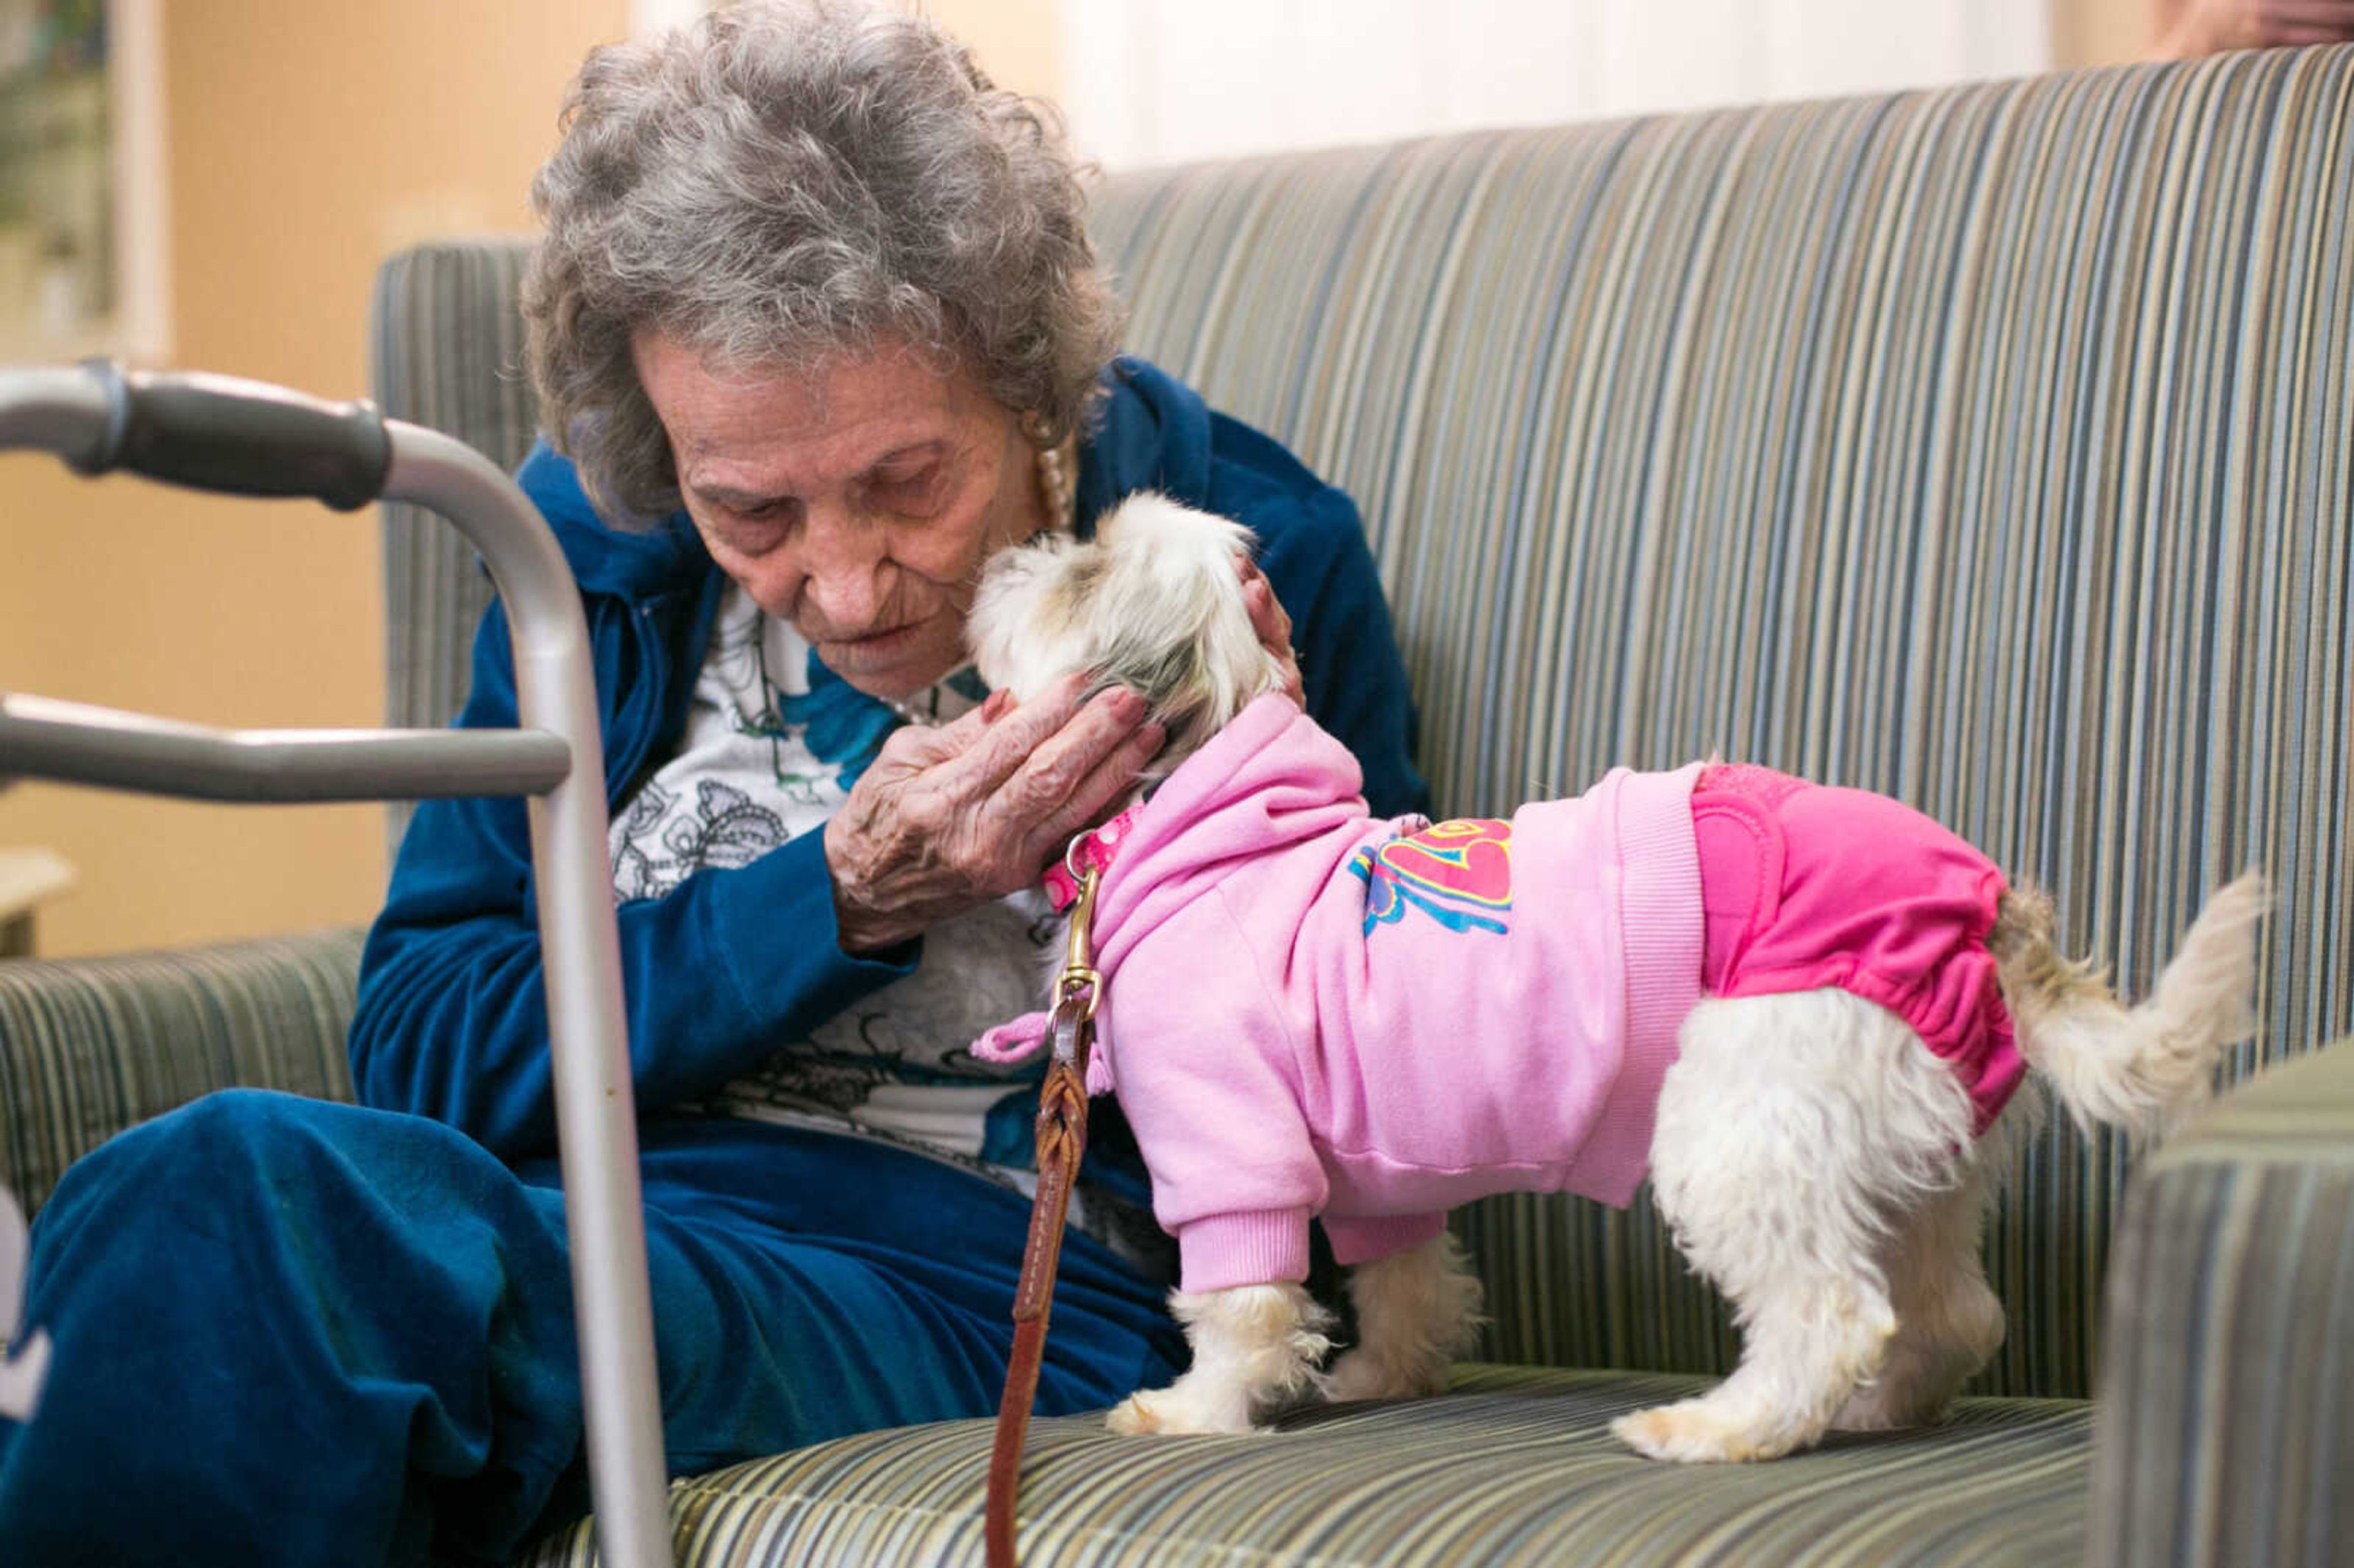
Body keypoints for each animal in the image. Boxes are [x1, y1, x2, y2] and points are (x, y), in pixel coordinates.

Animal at [960, 494, 2260, 1460]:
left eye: (1083, 567)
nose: (1014, 553)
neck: (1213, 818)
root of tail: (1985, 907)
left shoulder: (1231, 1149)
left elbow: (1243, 1301)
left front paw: (1196, 1410)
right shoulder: (1381, 1173)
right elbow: (1405, 1278)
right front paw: (1383, 1375)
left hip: (1745, 1117)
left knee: (1831, 1312)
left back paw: (1721, 1428)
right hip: (1896, 1158)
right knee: (1950, 1311)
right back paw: (1879, 1407)